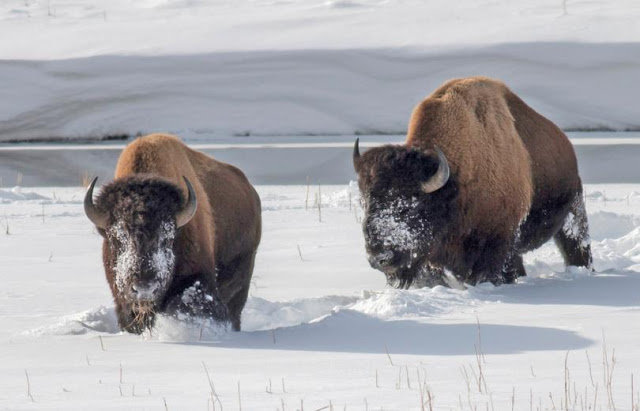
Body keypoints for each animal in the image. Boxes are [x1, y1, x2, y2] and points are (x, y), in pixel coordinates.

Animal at [353, 77, 592, 288]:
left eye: (408, 207)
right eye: (365, 204)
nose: (379, 258)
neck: (456, 181)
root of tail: (565, 143)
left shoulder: (498, 242)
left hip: (573, 214)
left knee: (577, 246)